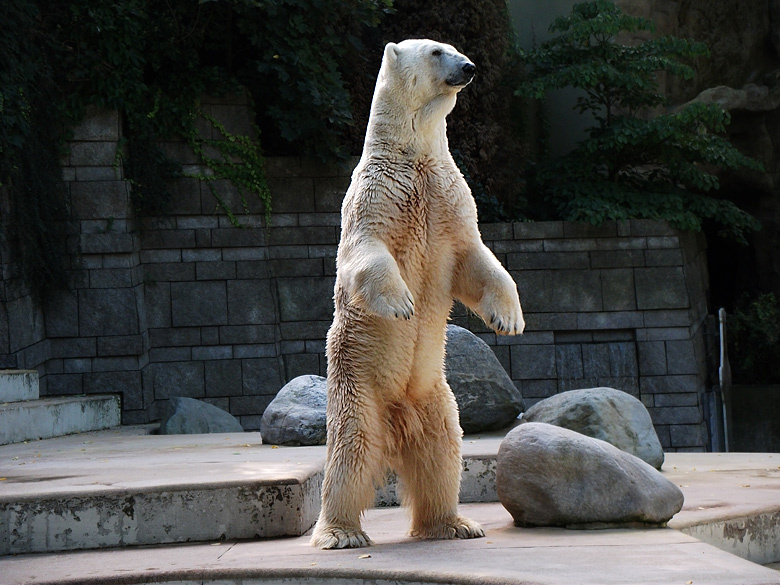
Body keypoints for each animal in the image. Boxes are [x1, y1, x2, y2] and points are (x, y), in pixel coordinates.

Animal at [310, 38, 524, 548]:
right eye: (435, 52)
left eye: (455, 49)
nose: (469, 67)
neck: (414, 154)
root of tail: (396, 422)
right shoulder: (376, 195)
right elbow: (365, 250)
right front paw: (402, 303)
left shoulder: (449, 198)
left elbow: (476, 259)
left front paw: (508, 319)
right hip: (357, 388)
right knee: (350, 453)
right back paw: (341, 533)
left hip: (436, 396)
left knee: (442, 455)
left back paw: (454, 523)